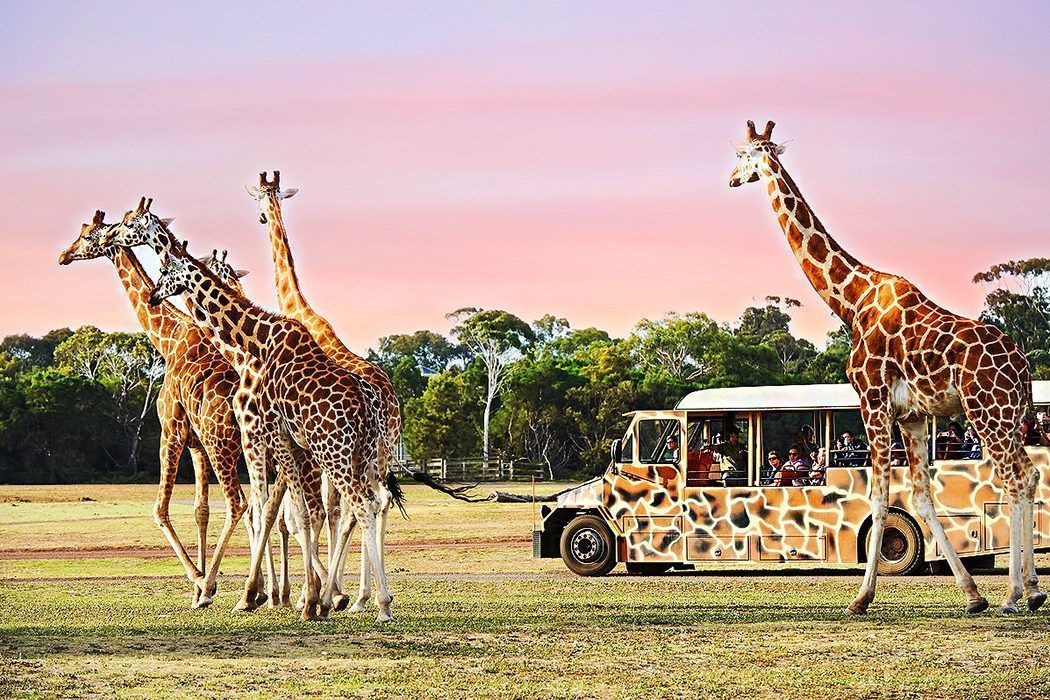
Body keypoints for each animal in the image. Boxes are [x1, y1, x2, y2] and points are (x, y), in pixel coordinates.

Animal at [58, 210, 247, 609]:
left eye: (87, 236)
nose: (63, 255)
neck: (169, 337)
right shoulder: (195, 445)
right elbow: (200, 510)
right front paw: (199, 588)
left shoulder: (170, 431)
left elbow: (160, 510)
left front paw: (201, 583)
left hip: (223, 442)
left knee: (241, 503)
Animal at [147, 239, 396, 621]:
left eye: (165, 271)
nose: (153, 296)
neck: (259, 340)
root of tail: (370, 408)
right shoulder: (290, 443)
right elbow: (293, 514)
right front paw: (308, 598)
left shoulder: (273, 433)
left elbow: (286, 512)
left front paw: (288, 599)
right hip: (363, 455)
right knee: (368, 504)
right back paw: (355, 598)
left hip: (333, 453)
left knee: (358, 507)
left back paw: (373, 603)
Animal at [728, 120, 1045, 615]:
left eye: (743, 155)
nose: (730, 179)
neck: (851, 300)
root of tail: (1023, 366)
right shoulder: (913, 415)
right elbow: (920, 497)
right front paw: (972, 595)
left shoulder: (872, 401)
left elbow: (878, 497)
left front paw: (861, 598)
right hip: (1011, 416)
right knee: (1028, 476)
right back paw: (1031, 589)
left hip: (986, 413)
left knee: (1012, 480)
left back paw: (1014, 594)